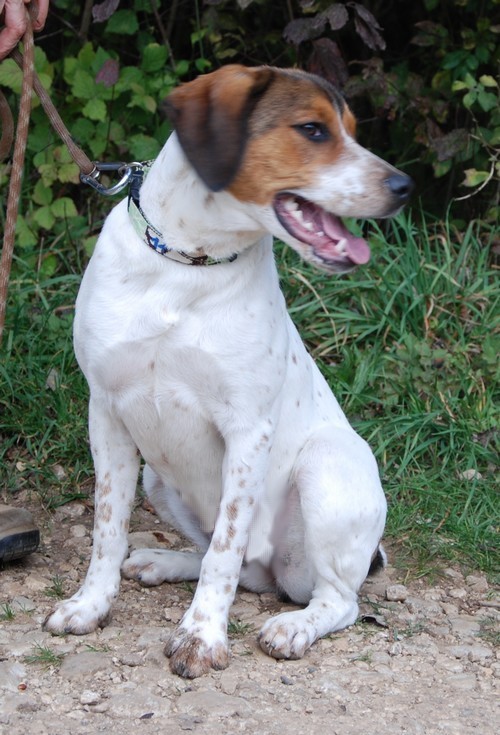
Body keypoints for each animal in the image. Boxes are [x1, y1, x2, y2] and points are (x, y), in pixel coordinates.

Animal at [43, 64, 412, 680]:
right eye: (313, 129)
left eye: (353, 131)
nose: (404, 187)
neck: (189, 265)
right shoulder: (107, 412)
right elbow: (106, 529)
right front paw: (90, 605)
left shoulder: (247, 429)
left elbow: (226, 549)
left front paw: (201, 635)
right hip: (158, 477)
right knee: (237, 566)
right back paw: (162, 561)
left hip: (327, 465)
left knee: (335, 599)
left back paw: (293, 626)